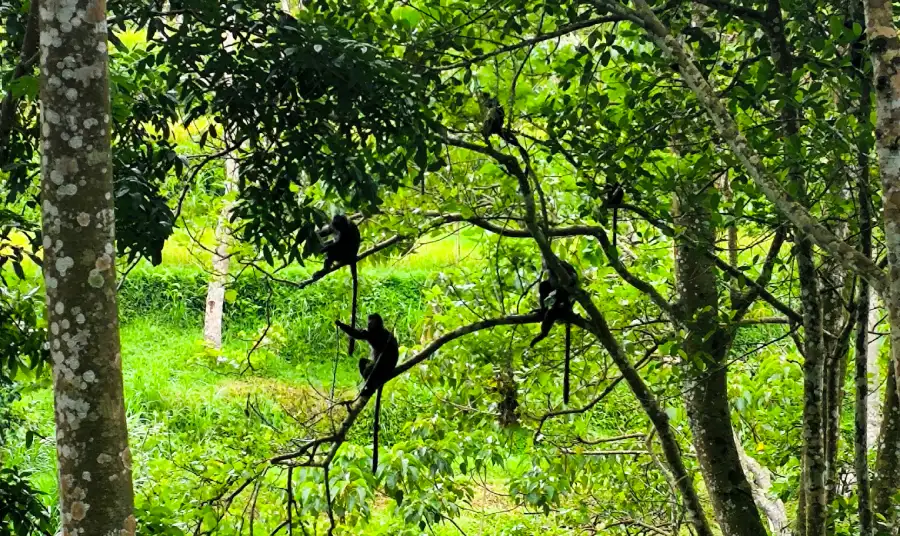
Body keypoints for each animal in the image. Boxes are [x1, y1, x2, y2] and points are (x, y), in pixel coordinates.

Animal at [315, 214, 361, 355]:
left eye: (340, 223)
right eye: (335, 222)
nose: (336, 225)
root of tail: (353, 257)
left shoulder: (346, 230)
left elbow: (341, 244)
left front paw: (325, 247)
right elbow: (324, 232)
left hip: (345, 255)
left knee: (336, 250)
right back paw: (323, 270)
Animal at [336, 313, 399, 474]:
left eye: (373, 320)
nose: (369, 323)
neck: (378, 329)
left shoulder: (377, 334)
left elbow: (362, 335)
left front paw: (339, 323)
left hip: (380, 369)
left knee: (371, 365)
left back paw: (369, 383)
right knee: (364, 361)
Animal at [530, 259, 579, 404]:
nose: (544, 265)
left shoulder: (561, 264)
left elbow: (573, 275)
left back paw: (543, 333)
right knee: (544, 286)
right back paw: (543, 311)